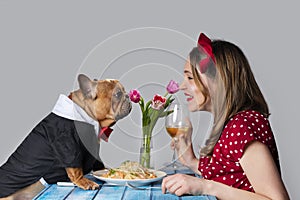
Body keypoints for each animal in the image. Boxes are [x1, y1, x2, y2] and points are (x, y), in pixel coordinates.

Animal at [0, 74, 131, 199]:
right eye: (118, 94)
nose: (128, 95)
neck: (84, 113)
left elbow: (97, 162)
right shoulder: (66, 143)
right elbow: (75, 169)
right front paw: (84, 182)